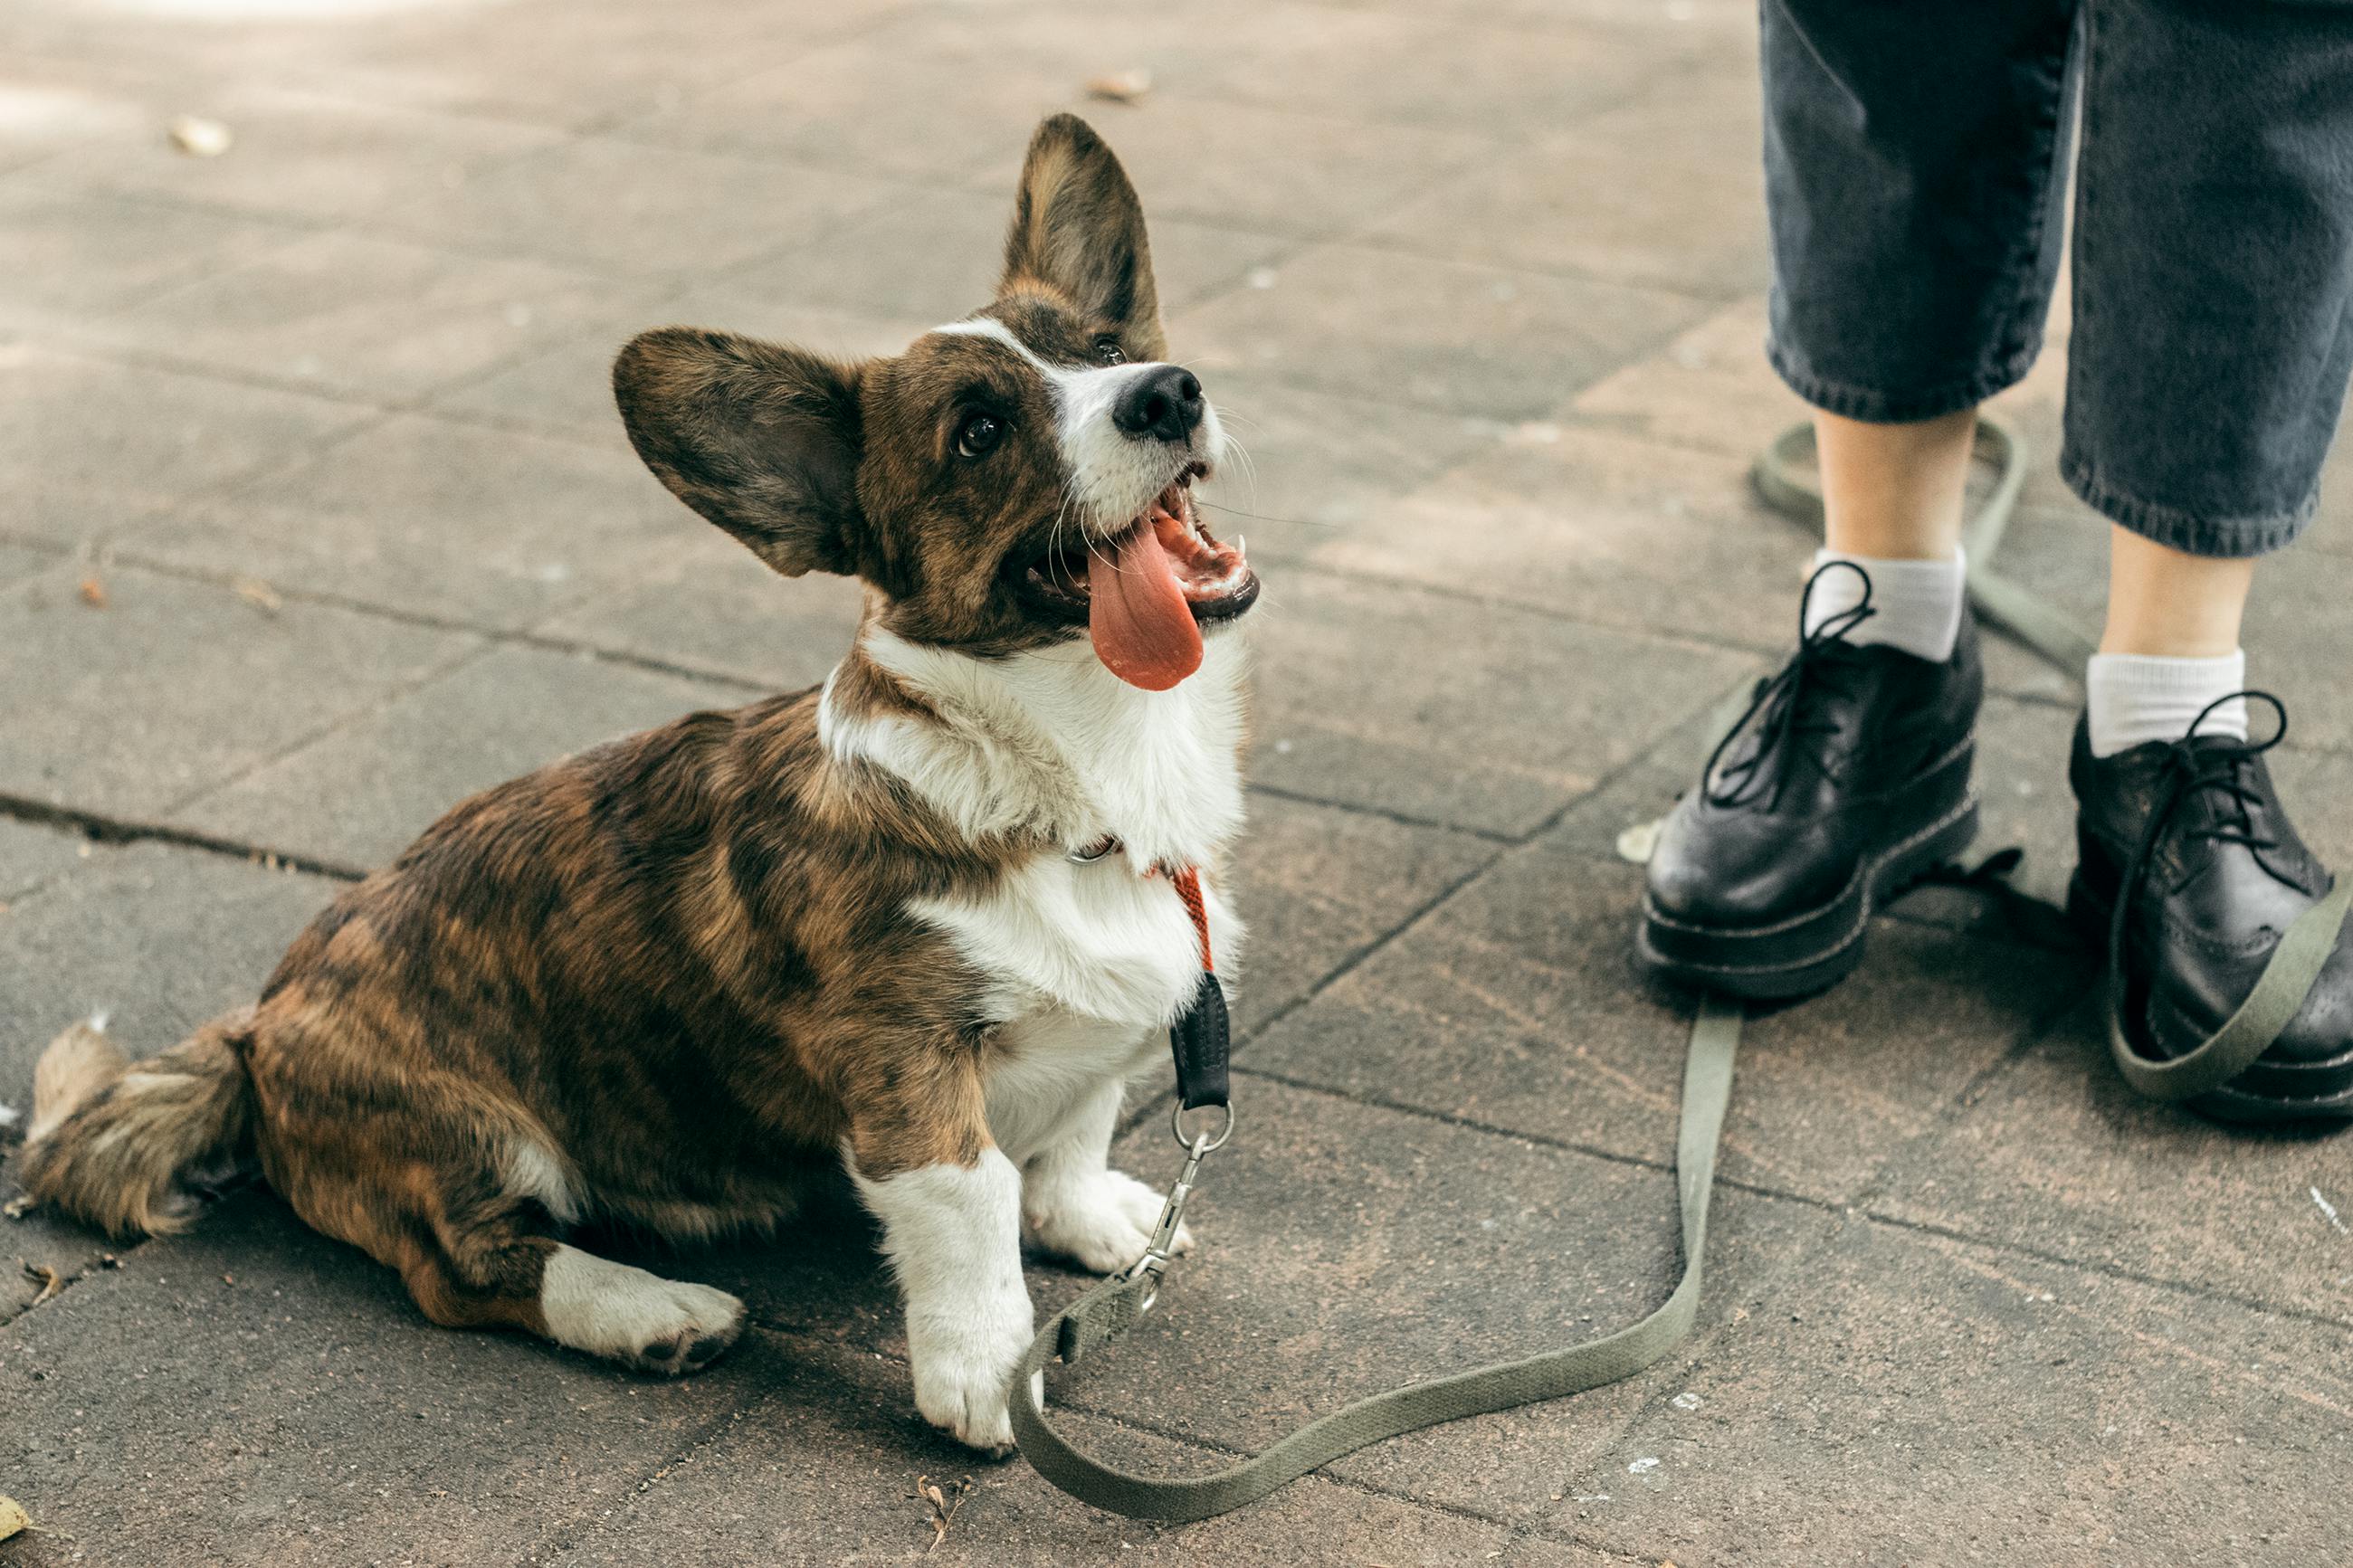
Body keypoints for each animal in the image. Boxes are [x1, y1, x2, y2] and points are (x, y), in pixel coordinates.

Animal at [18, 116, 1261, 1457]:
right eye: (979, 433)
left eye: (1108, 350)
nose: (1168, 391)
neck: (1081, 776)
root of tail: (256, 1030)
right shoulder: (907, 1066)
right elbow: (973, 1199)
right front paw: (984, 1372)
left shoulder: (1109, 1030)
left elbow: (1077, 1125)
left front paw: (1098, 1223)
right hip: (475, 1129)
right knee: (466, 1265)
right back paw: (649, 1309)